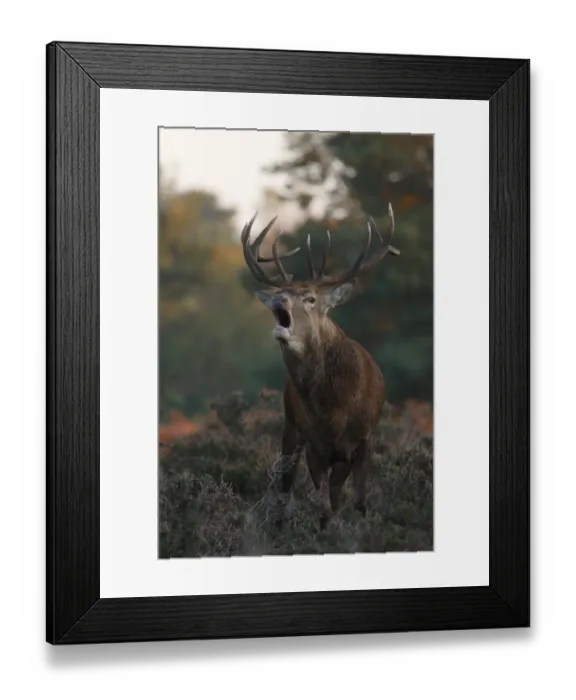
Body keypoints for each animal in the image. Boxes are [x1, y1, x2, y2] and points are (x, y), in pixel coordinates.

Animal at [241, 205, 400, 529]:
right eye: (283, 293)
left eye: (310, 298)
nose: (278, 298)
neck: (333, 407)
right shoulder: (315, 443)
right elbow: (321, 504)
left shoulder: (364, 437)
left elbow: (360, 502)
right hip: (291, 428)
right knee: (286, 485)